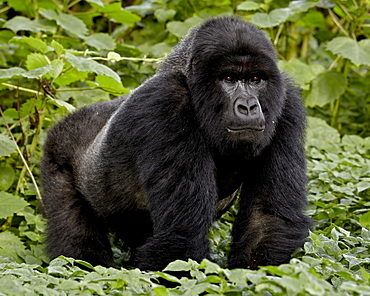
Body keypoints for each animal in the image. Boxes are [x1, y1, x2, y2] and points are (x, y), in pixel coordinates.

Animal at [40, 16, 312, 270]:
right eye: (228, 78)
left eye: (255, 79)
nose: (248, 106)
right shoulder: (165, 100)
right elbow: (182, 234)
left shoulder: (286, 103)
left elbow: (266, 222)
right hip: (57, 149)